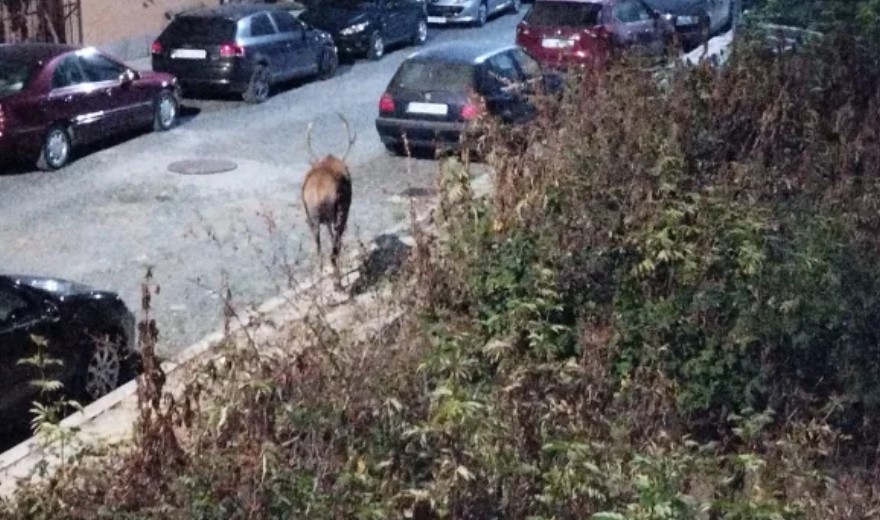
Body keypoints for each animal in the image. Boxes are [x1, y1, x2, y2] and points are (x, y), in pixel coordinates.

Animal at [302, 113, 354, 290]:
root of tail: (318, 194)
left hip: (311, 219)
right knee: (333, 251)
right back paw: (338, 283)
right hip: (339, 212)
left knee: (319, 251)